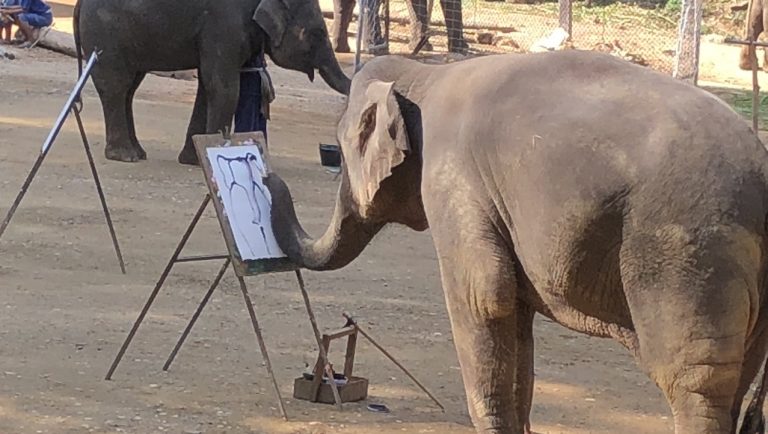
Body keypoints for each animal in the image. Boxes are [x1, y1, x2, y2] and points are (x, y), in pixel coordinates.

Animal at [72, 0, 351, 165]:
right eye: (318, 33)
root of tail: (80, 3)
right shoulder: (224, 26)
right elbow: (223, 86)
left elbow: (208, 87)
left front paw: (194, 158)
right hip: (106, 35)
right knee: (117, 87)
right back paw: (125, 156)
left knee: (130, 88)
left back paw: (138, 154)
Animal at [264, 50, 768, 433]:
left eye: (342, 147)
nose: (267, 178)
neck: (423, 74)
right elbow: (515, 318)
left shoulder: (453, 180)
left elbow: (484, 296)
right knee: (739, 379)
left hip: (686, 255)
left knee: (693, 381)